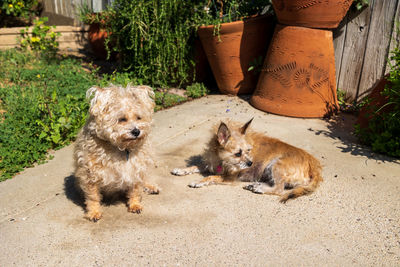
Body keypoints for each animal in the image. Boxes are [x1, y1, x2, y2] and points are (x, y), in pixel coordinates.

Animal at [74, 85, 159, 222]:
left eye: (138, 117)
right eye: (122, 119)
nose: (136, 131)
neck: (121, 148)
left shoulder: (136, 169)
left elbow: (135, 189)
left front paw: (135, 205)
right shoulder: (89, 175)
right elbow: (93, 197)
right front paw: (94, 212)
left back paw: (150, 186)